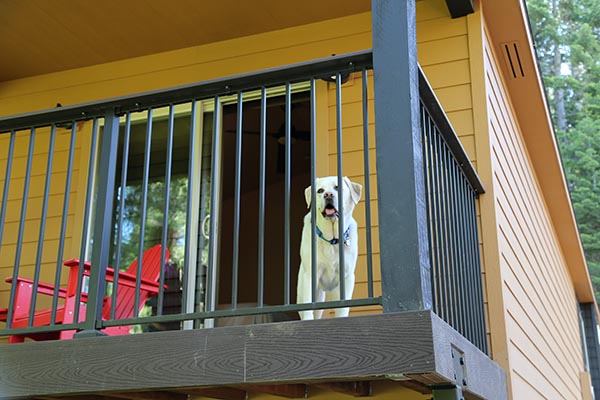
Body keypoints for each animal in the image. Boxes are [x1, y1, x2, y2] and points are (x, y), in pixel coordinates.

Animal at [296, 175, 360, 318]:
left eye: (337, 187)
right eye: (320, 190)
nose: (328, 195)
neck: (332, 239)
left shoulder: (347, 277)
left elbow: (343, 309)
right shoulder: (310, 275)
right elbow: (308, 307)